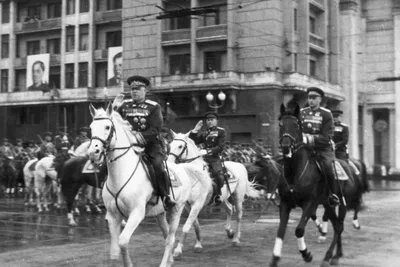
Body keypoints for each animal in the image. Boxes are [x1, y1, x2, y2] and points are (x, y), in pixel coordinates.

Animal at [87, 104, 209, 267]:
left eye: (107, 126)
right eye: (91, 127)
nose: (93, 152)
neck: (120, 175)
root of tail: (182, 168)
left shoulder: (136, 213)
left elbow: (123, 241)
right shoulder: (113, 216)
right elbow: (114, 251)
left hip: (177, 209)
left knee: (171, 238)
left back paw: (166, 262)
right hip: (160, 213)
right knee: (166, 234)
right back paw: (170, 260)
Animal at [262, 102, 368, 267]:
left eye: (296, 125)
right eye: (280, 124)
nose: (286, 146)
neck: (295, 173)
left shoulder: (310, 202)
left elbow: (299, 229)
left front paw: (306, 254)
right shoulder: (286, 204)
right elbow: (280, 231)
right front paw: (275, 259)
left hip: (341, 203)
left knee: (340, 225)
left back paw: (329, 256)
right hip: (327, 204)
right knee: (337, 225)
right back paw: (336, 254)